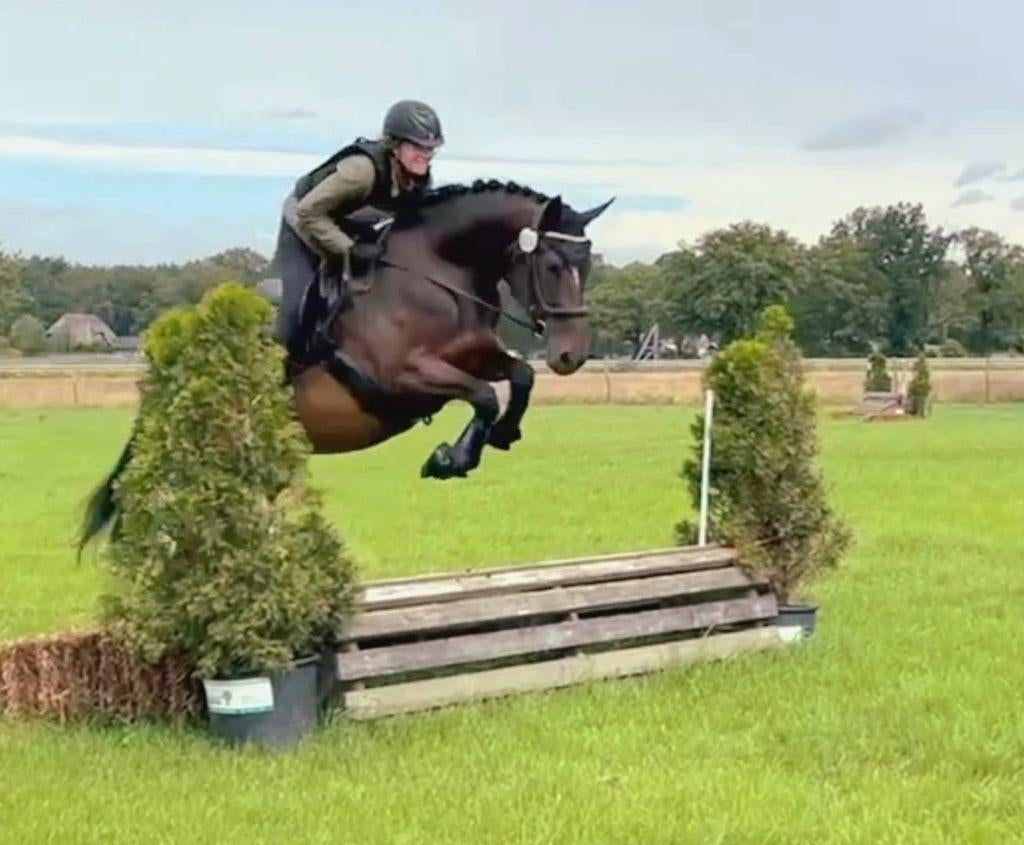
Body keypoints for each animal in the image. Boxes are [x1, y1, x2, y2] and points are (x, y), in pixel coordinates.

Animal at [79, 179, 612, 552]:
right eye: (552, 266)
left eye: (587, 265)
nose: (570, 356)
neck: (437, 272)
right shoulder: (402, 378)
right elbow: (482, 395)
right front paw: (450, 459)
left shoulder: (474, 354)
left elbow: (520, 376)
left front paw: (500, 435)